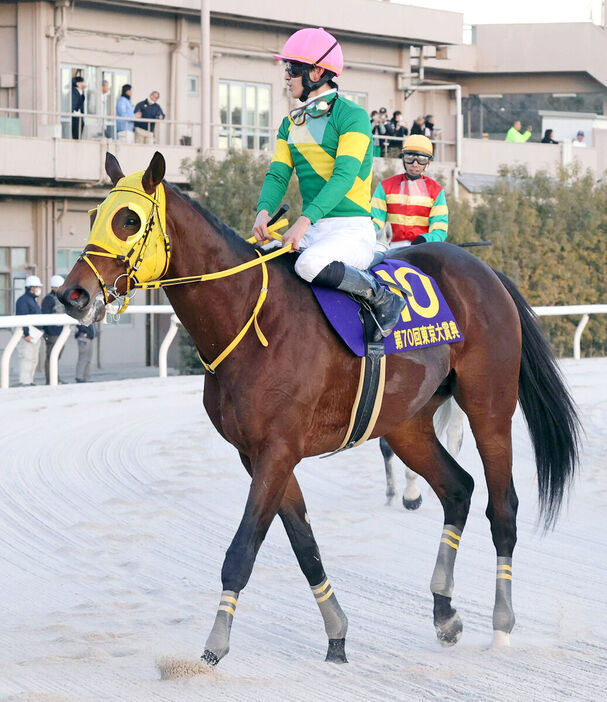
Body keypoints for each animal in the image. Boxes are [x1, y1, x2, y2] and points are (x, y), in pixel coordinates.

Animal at [59, 153, 580, 664]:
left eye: (129, 219)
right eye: (94, 213)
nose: (72, 294)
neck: (253, 319)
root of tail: (483, 270)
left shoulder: (277, 451)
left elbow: (242, 551)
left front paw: (214, 646)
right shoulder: (258, 455)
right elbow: (304, 545)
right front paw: (337, 635)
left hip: (489, 406)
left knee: (503, 507)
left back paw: (502, 624)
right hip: (407, 423)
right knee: (458, 489)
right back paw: (444, 611)